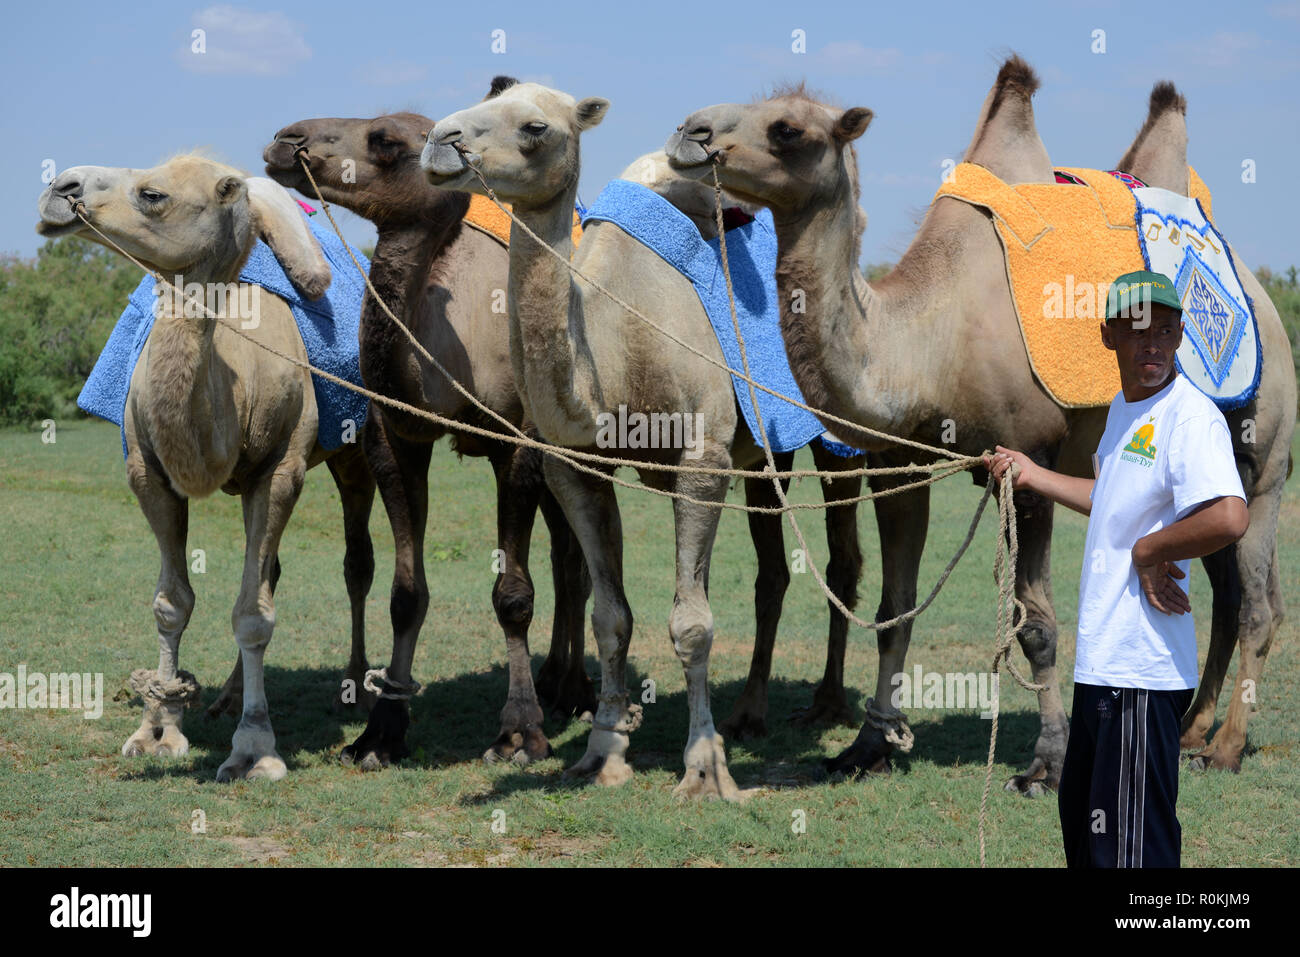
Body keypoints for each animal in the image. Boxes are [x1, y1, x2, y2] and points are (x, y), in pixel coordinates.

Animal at [35, 155, 379, 780]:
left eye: (153, 194)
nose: (61, 186)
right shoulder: (147, 472)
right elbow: (173, 602)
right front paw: (157, 729)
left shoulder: (281, 469)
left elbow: (253, 616)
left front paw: (255, 749)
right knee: (270, 571)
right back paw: (226, 696)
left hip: (354, 450)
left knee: (356, 562)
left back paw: (355, 687)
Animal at [665, 55, 1294, 780]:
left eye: (788, 128)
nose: (689, 131)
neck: (926, 345)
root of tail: (1264, 302)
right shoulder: (898, 466)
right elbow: (897, 607)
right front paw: (869, 745)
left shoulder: (1030, 459)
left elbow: (1037, 623)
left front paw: (1049, 759)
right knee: (1225, 596)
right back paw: (1191, 731)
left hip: (1261, 458)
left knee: (1256, 604)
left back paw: (1224, 747)